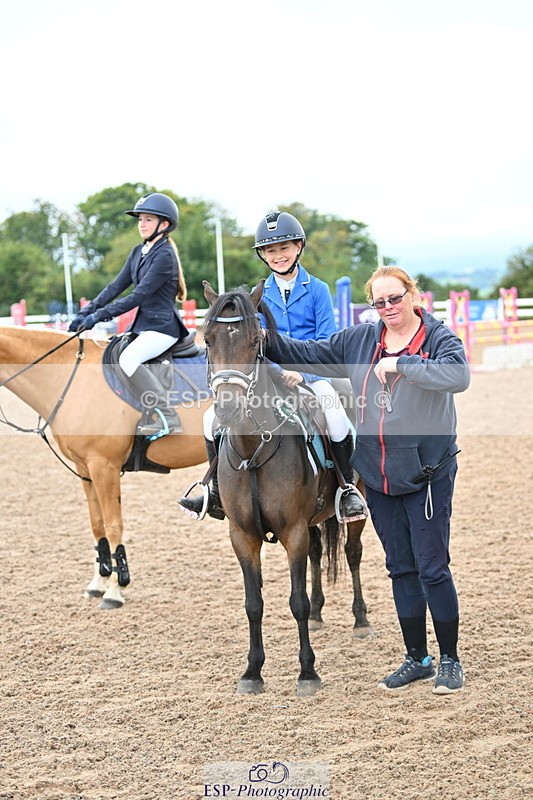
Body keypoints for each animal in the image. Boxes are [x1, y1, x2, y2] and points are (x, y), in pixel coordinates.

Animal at [0, 325, 211, 609]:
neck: (67, 376)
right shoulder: (85, 469)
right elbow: (97, 524)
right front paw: (97, 583)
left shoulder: (104, 467)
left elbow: (113, 525)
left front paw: (115, 589)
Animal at [201, 281, 371, 696]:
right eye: (208, 340)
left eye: (255, 341)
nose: (227, 409)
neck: (253, 450)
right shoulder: (242, 535)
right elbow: (254, 603)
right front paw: (252, 671)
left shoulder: (292, 531)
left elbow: (296, 601)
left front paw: (307, 672)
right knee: (317, 552)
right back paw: (321, 613)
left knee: (352, 552)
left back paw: (360, 619)